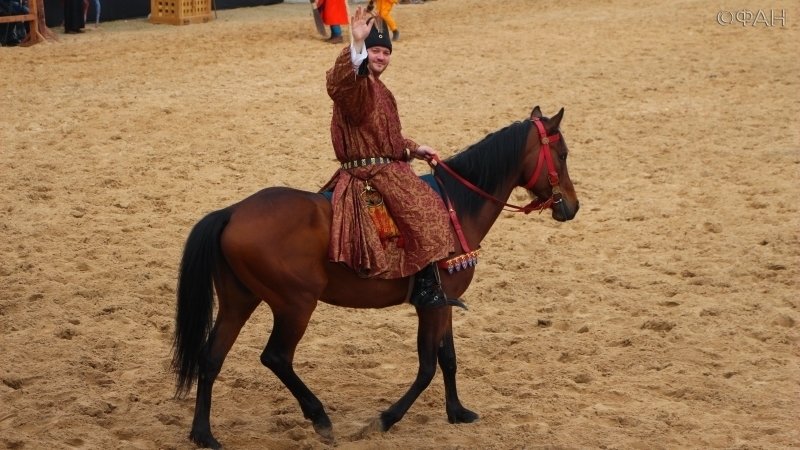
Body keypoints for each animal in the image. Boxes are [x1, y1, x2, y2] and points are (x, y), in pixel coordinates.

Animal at [172, 106, 580, 446]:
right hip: (295, 305)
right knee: (276, 357)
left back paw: (204, 434)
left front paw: (457, 412)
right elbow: (428, 366)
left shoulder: (444, 302)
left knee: (211, 357)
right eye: (562, 155)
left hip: (239, 301)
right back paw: (320, 419)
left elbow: (448, 357)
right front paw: (384, 419)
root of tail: (232, 212)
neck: (457, 209)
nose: (572, 207)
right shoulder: (432, 305)